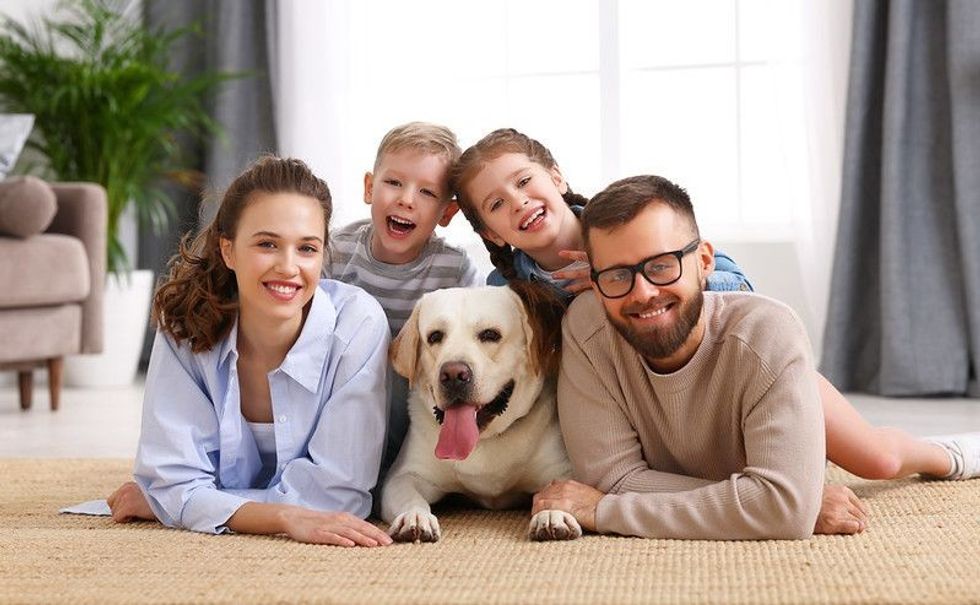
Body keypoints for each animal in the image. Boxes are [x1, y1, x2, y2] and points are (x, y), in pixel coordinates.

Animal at [378, 286, 580, 540]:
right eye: (435, 336)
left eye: (490, 335)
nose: (453, 374)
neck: (484, 441)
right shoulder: (404, 476)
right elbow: (409, 496)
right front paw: (414, 516)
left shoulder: (563, 469)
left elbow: (562, 490)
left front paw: (553, 513)